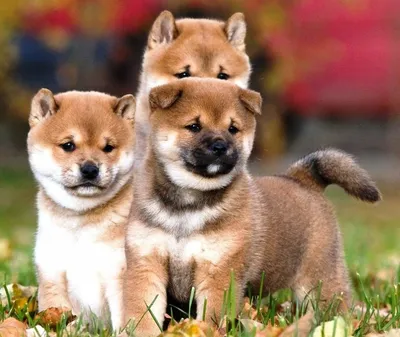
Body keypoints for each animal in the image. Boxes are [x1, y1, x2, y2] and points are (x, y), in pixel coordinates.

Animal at [27, 88, 136, 330]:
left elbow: (124, 320)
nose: (90, 169)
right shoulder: (52, 271)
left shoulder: (118, 274)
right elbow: (57, 317)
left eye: (108, 147)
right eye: (68, 145)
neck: (80, 222)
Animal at [123, 78, 380, 334]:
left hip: (320, 280)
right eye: (194, 126)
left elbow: (211, 317)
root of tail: (302, 179)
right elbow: (143, 314)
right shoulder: (146, 265)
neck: (187, 208)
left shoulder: (220, 272)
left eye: (232, 129)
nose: (220, 146)